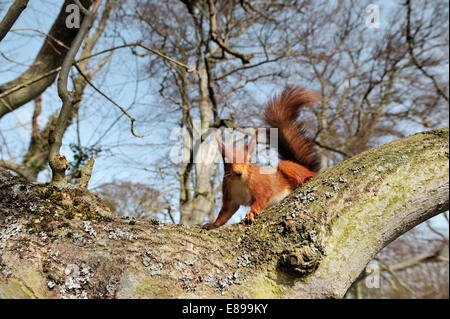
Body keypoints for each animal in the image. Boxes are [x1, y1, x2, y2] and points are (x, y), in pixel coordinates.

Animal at [202, 85, 322, 230]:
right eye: (225, 162)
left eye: (249, 160)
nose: (238, 173)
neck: (240, 182)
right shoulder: (230, 197)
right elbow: (224, 213)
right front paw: (213, 224)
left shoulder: (261, 186)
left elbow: (262, 199)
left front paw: (252, 212)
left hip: (287, 166)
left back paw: (305, 179)